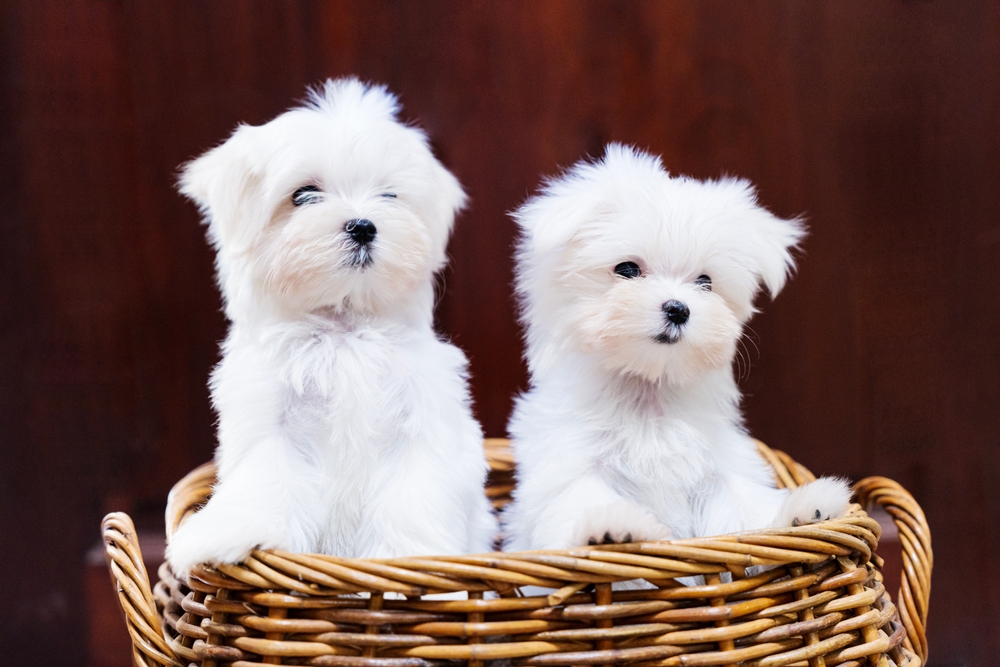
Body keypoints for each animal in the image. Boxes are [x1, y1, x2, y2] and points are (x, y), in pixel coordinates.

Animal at [165, 79, 500, 580]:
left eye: (390, 196)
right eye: (303, 195)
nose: (363, 225)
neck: (344, 328)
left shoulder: (420, 427)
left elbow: (411, 499)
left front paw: (407, 565)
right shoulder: (271, 420)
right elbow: (265, 478)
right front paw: (229, 534)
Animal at [504, 146, 848, 552]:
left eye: (705, 282)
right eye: (626, 269)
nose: (678, 309)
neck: (649, 392)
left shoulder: (719, 467)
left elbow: (745, 509)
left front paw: (804, 510)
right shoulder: (569, 465)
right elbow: (581, 499)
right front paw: (610, 526)